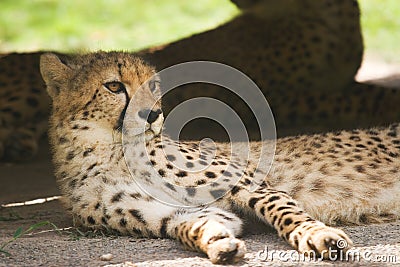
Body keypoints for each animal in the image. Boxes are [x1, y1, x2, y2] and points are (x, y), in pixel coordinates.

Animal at [38, 51, 400, 264]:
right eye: (114, 86)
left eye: (152, 85)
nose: (153, 114)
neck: (110, 153)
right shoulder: (176, 213)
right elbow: (196, 226)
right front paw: (219, 243)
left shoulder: (247, 181)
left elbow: (286, 211)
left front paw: (317, 235)